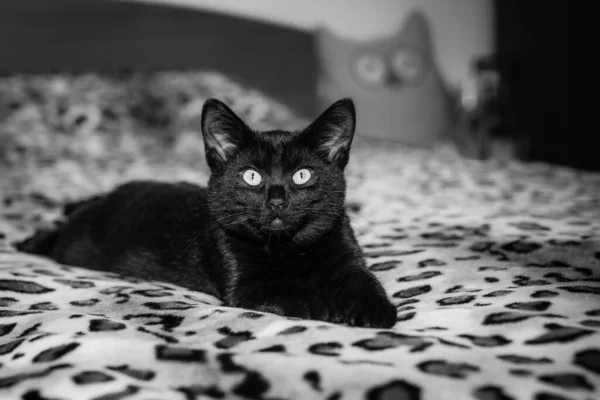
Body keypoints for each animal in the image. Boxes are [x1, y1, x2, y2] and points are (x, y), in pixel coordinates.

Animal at [16, 99, 396, 328]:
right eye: (251, 176)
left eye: (302, 175)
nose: (276, 200)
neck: (290, 247)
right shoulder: (243, 281)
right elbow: (287, 290)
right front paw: (321, 303)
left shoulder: (347, 258)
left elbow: (366, 281)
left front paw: (375, 311)